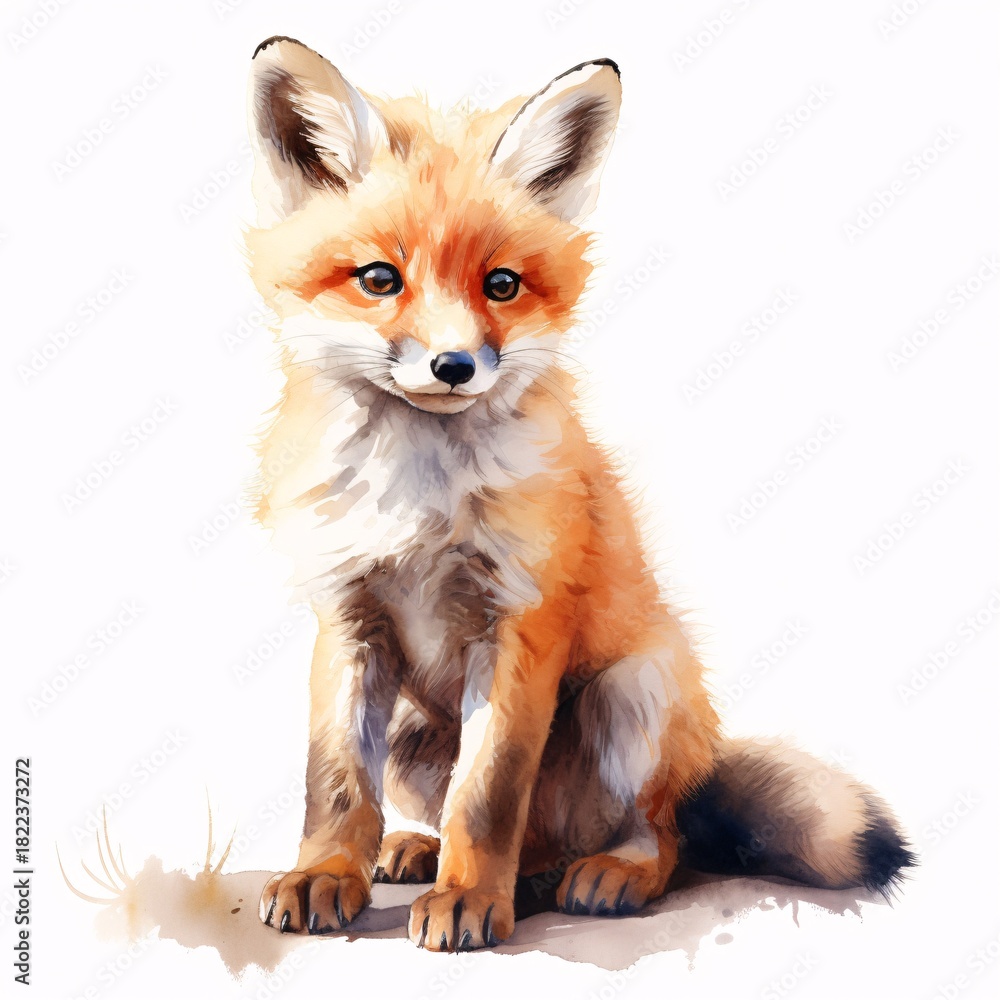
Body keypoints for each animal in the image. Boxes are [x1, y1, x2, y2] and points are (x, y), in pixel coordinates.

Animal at [244, 36, 914, 952]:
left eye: (501, 285)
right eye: (379, 279)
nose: (454, 366)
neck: (420, 504)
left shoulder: (521, 620)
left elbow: (488, 795)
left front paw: (470, 898)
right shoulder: (349, 618)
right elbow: (338, 782)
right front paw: (324, 875)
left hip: (633, 693)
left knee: (653, 837)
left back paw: (596, 875)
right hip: (419, 733)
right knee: (496, 829)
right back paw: (428, 854)